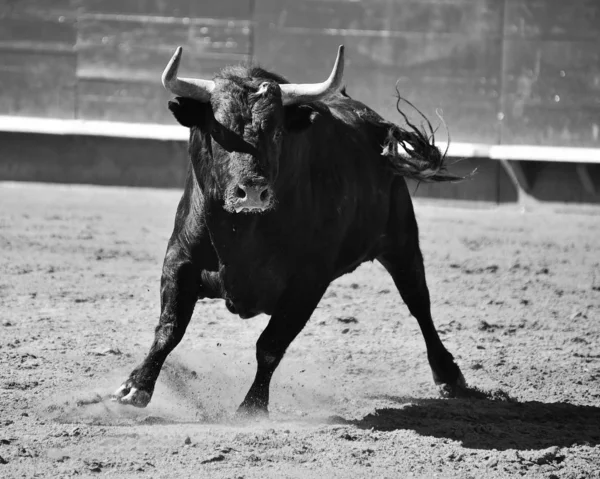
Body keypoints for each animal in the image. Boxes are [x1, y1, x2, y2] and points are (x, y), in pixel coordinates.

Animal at [112, 46, 468, 416]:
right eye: (218, 130)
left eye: (277, 133)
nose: (253, 191)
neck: (242, 234)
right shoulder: (180, 259)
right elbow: (170, 328)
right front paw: (136, 386)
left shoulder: (308, 283)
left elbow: (270, 345)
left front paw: (252, 408)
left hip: (401, 240)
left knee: (418, 301)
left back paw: (449, 375)